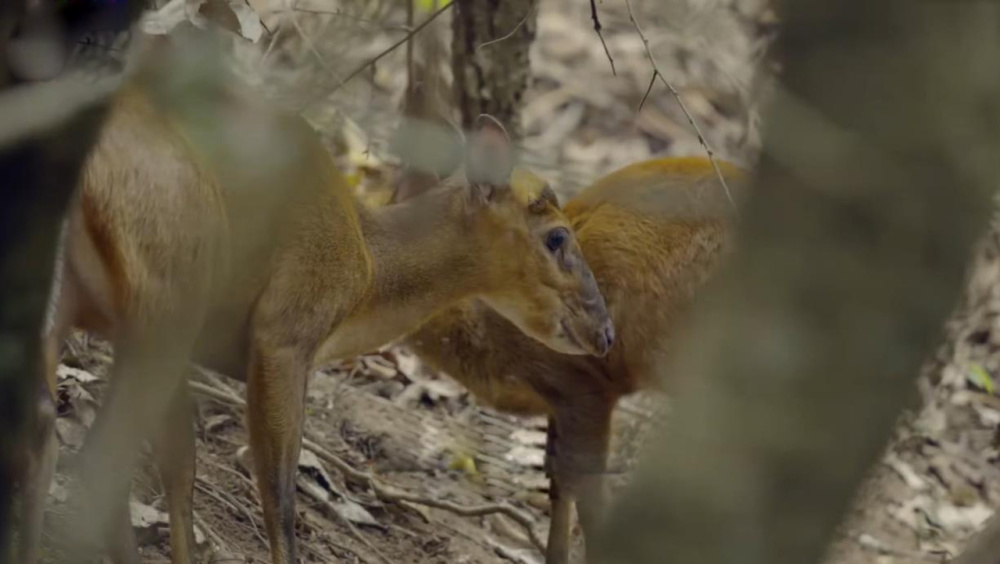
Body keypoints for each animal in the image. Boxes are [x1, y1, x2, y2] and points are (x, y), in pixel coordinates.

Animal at [21, 55, 616, 560]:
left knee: (44, 431)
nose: (605, 332)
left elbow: (180, 466)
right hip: (169, 301)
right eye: (557, 237)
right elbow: (278, 496)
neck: (367, 271)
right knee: (91, 456)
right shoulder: (283, 334)